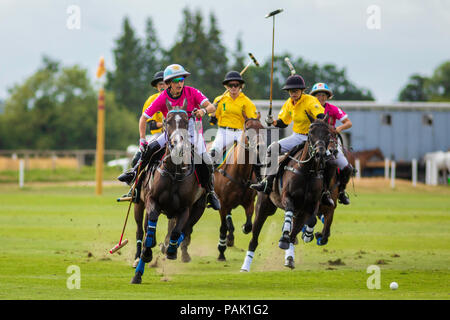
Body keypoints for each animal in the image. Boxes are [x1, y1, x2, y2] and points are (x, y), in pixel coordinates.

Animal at [131, 107, 207, 284]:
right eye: (167, 121)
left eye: (186, 121)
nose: (177, 145)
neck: (174, 172)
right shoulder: (152, 201)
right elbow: (149, 230)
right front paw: (144, 258)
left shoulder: (185, 208)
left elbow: (177, 231)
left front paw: (170, 250)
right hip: (139, 203)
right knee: (140, 230)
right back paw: (139, 257)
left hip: (198, 208)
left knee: (185, 229)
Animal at [213, 111, 266, 262]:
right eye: (248, 128)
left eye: (262, 127)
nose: (260, 146)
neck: (239, 173)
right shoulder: (222, 203)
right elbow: (223, 227)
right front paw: (221, 251)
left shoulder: (249, 202)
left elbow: (248, 225)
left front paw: (242, 227)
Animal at [241, 114, 336, 272]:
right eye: (311, 132)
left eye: (328, 133)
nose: (320, 154)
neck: (308, 172)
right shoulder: (288, 197)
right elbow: (289, 212)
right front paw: (284, 237)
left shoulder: (312, 204)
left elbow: (312, 220)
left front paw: (308, 234)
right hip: (263, 207)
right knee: (254, 240)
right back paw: (245, 267)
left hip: (299, 212)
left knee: (294, 234)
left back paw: (290, 258)